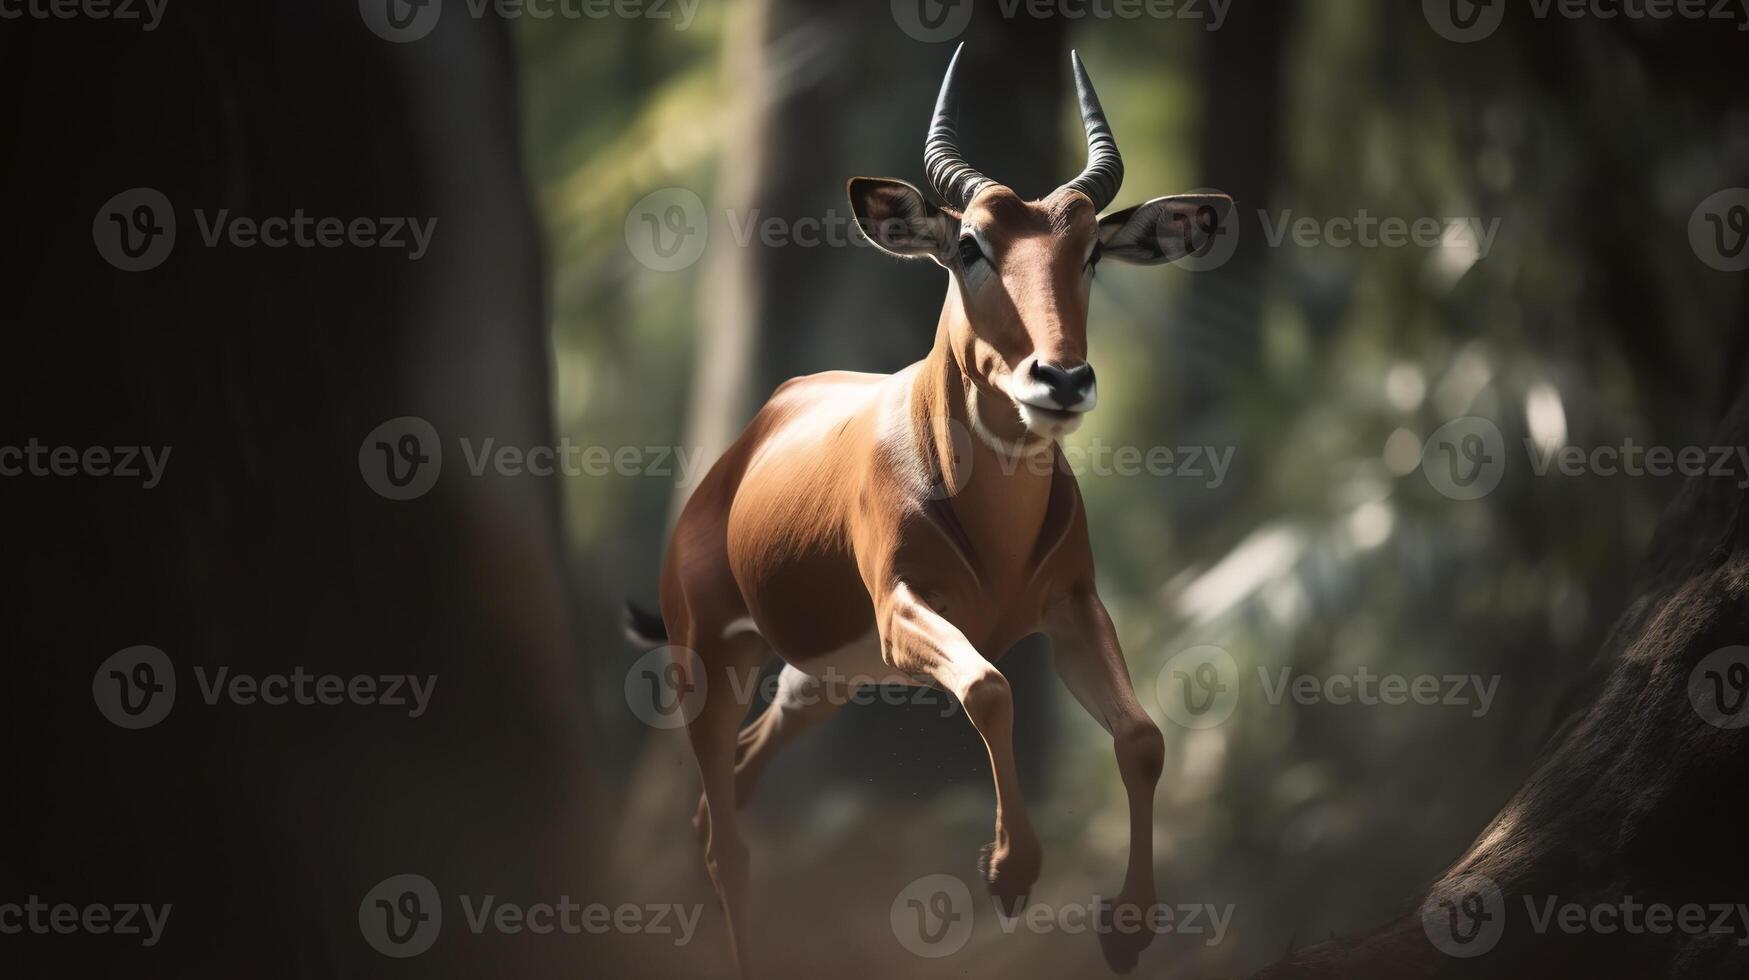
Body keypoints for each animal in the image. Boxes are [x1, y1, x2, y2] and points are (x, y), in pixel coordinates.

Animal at [629, 43, 1231, 973]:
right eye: (971, 244)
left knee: (719, 800)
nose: (1060, 379)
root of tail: (742, 449)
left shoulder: (1071, 608)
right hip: (712, 659)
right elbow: (989, 687)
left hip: (819, 679)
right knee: (724, 837)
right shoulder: (904, 611)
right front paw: (1010, 871)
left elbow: (1142, 738)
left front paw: (1126, 927)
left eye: (1091, 250)